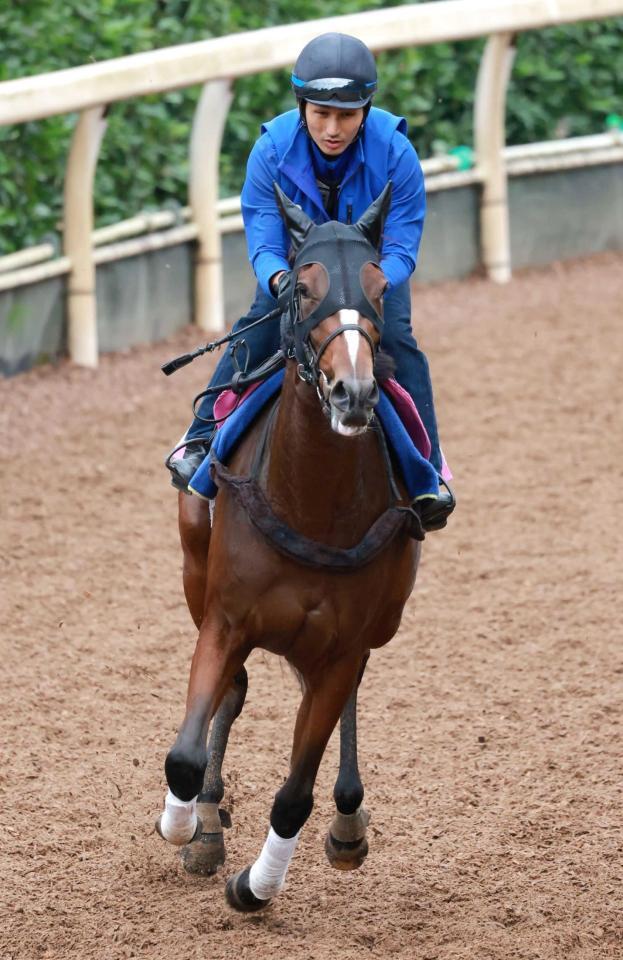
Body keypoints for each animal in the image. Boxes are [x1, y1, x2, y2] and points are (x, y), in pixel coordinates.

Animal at [158, 184, 426, 912]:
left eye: (379, 286)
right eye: (302, 289)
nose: (353, 392)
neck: (312, 503)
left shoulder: (343, 646)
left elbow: (294, 795)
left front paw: (256, 885)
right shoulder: (225, 619)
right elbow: (185, 755)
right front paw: (185, 822)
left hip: (375, 625)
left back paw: (348, 821)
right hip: (195, 571)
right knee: (232, 695)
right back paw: (206, 821)